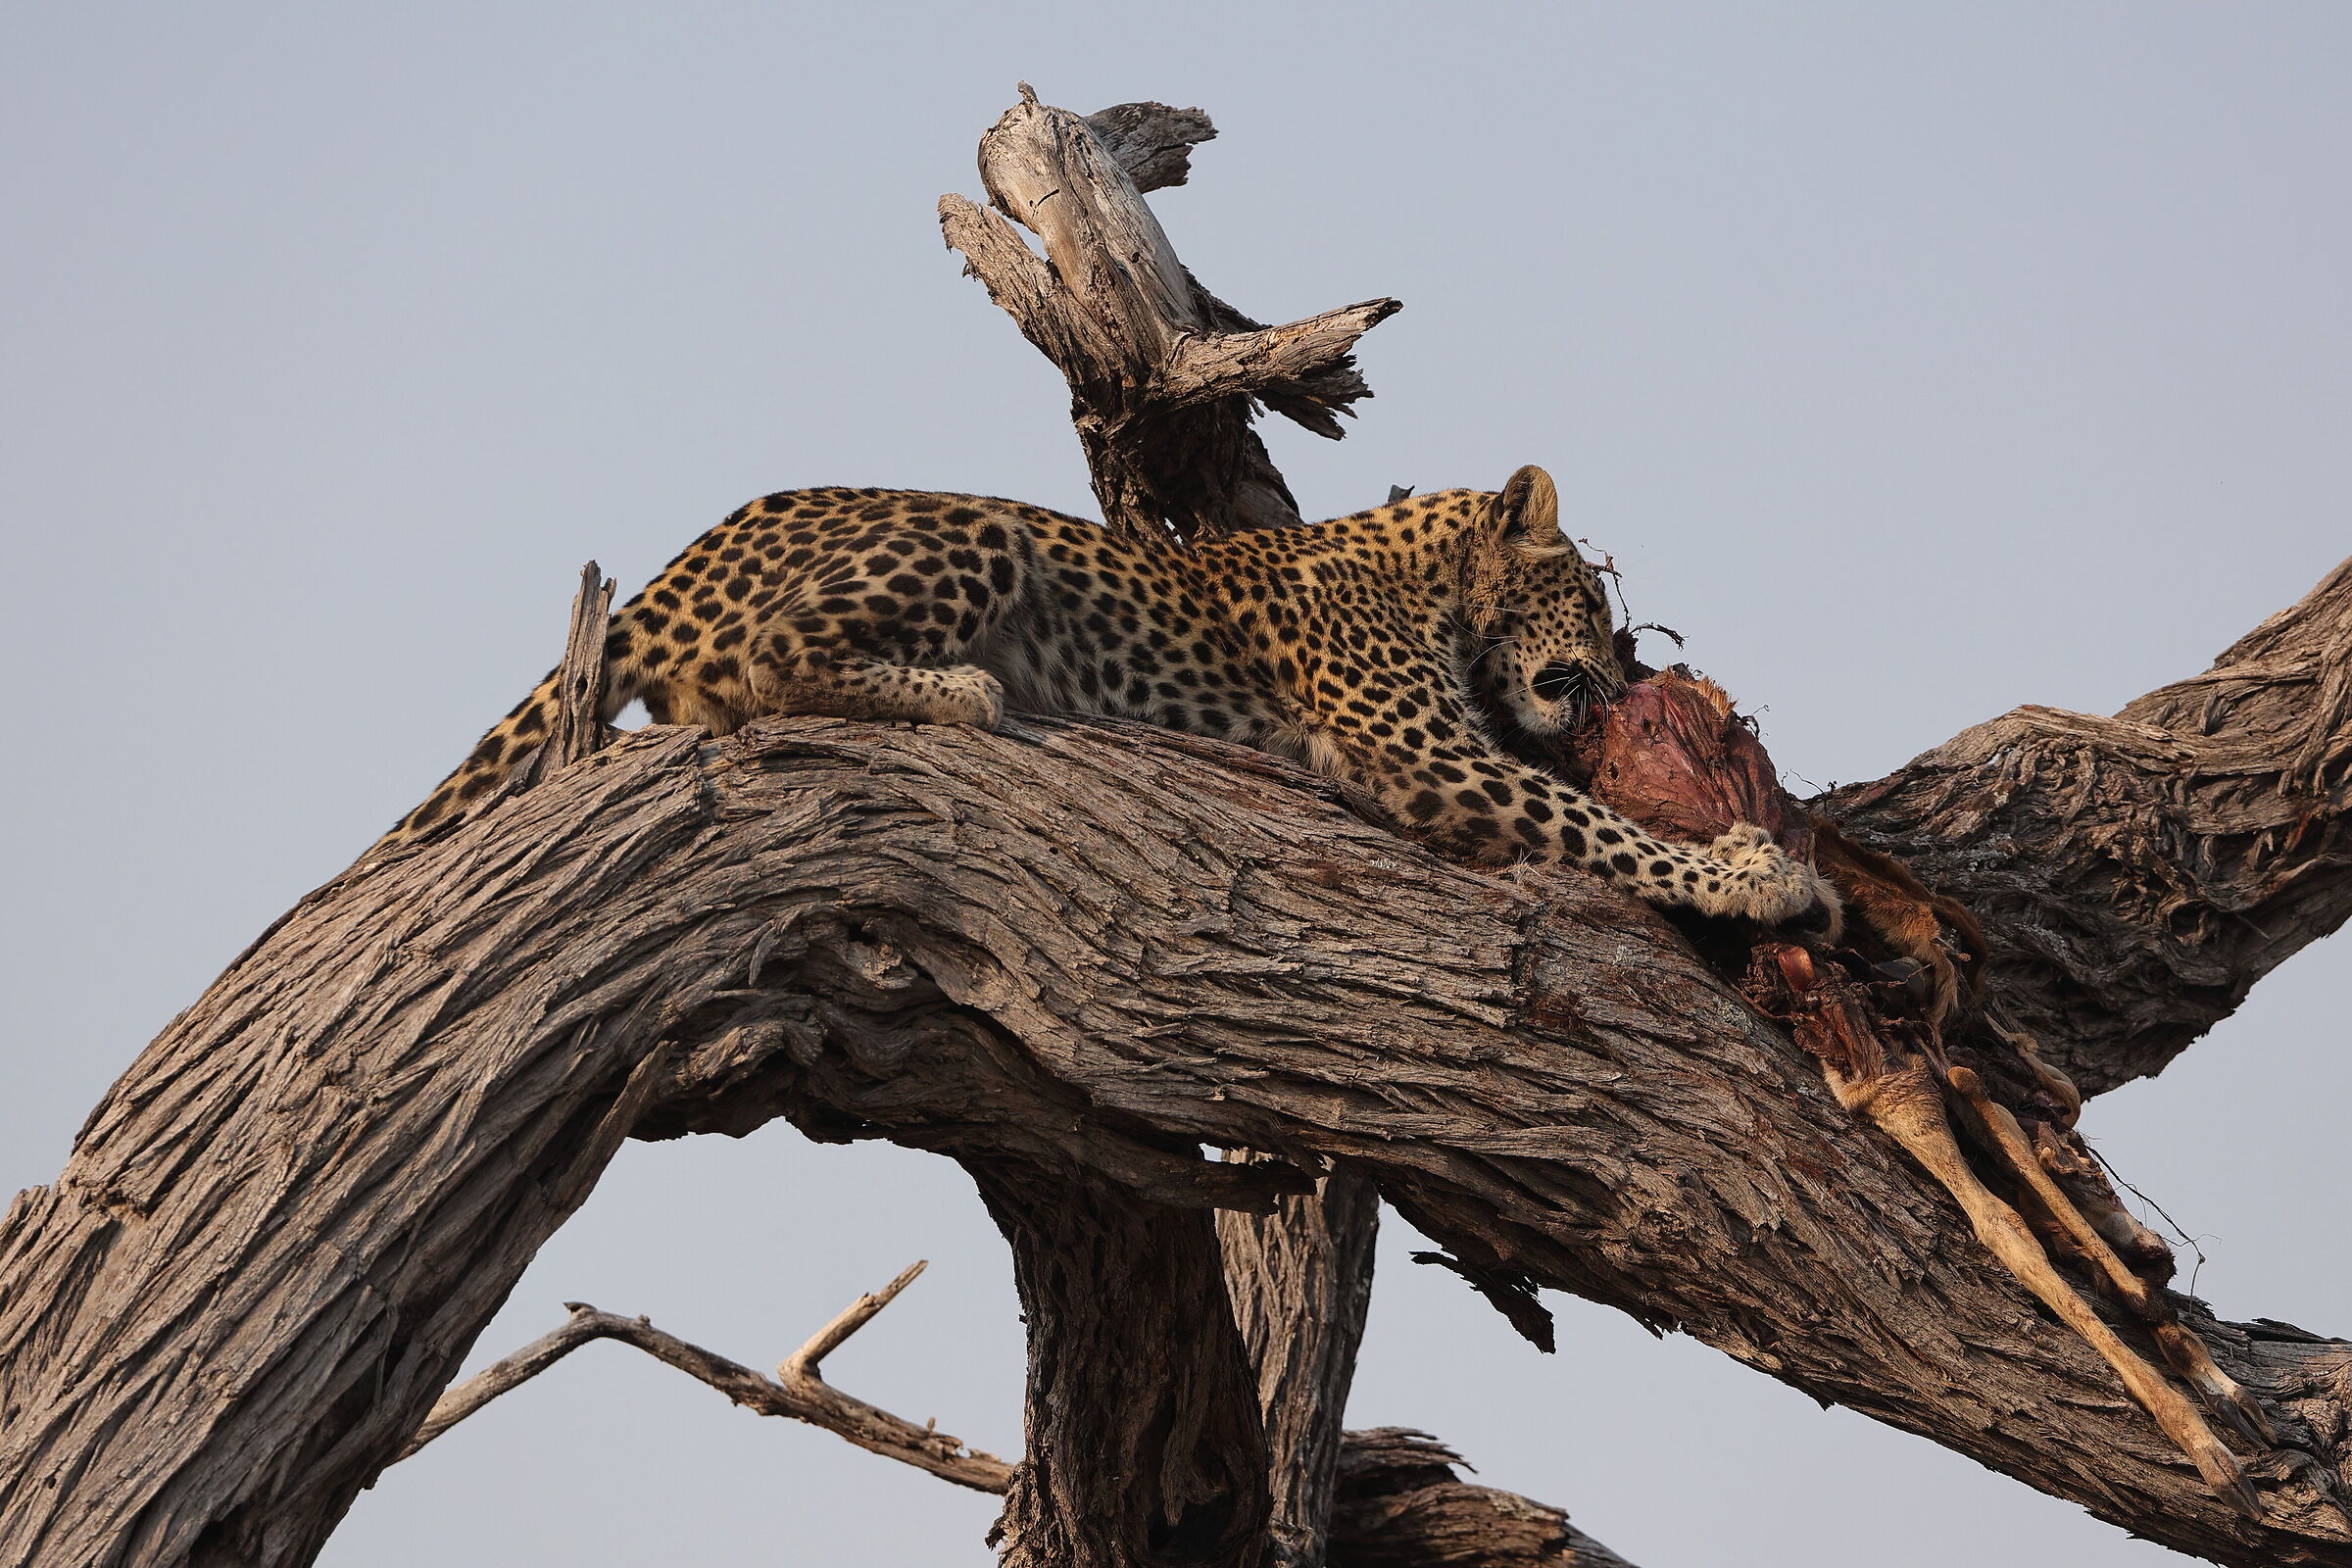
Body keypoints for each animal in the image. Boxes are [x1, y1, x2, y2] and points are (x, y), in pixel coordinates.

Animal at [381, 465, 1838, 931]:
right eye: (1589, 596)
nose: (1631, 672)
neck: (1428, 577)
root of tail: (693, 549)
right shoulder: (1420, 748)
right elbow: (1590, 824)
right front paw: (1760, 875)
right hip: (969, 533)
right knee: (764, 660)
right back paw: (963, 688)